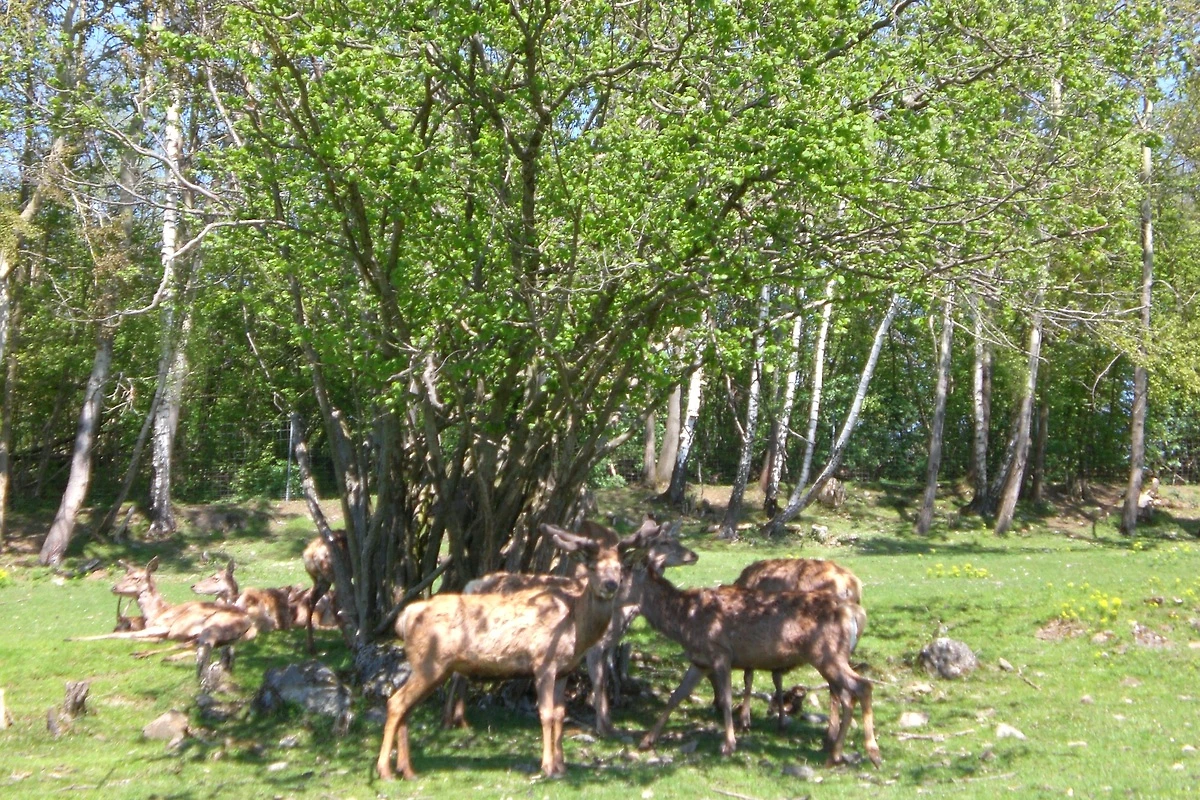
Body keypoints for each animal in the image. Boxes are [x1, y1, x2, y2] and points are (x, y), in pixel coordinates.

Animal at [376, 520, 633, 781]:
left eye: (620, 568)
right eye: (593, 567)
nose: (611, 584)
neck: (574, 626)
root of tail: (406, 617)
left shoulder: (565, 670)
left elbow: (560, 714)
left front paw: (562, 766)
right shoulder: (543, 662)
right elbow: (546, 714)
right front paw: (548, 766)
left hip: (433, 667)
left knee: (406, 708)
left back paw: (407, 770)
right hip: (430, 663)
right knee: (396, 703)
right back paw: (385, 770)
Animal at [441, 517, 698, 737]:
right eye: (665, 541)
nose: (693, 555)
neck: (619, 622)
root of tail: (470, 585)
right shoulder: (594, 648)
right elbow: (599, 681)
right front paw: (604, 728)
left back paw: (459, 719)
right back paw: (451, 720)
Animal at [732, 558, 863, 731]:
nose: (716, 704)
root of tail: (852, 586)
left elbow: (749, 676)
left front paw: (744, 720)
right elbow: (777, 677)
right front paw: (781, 719)